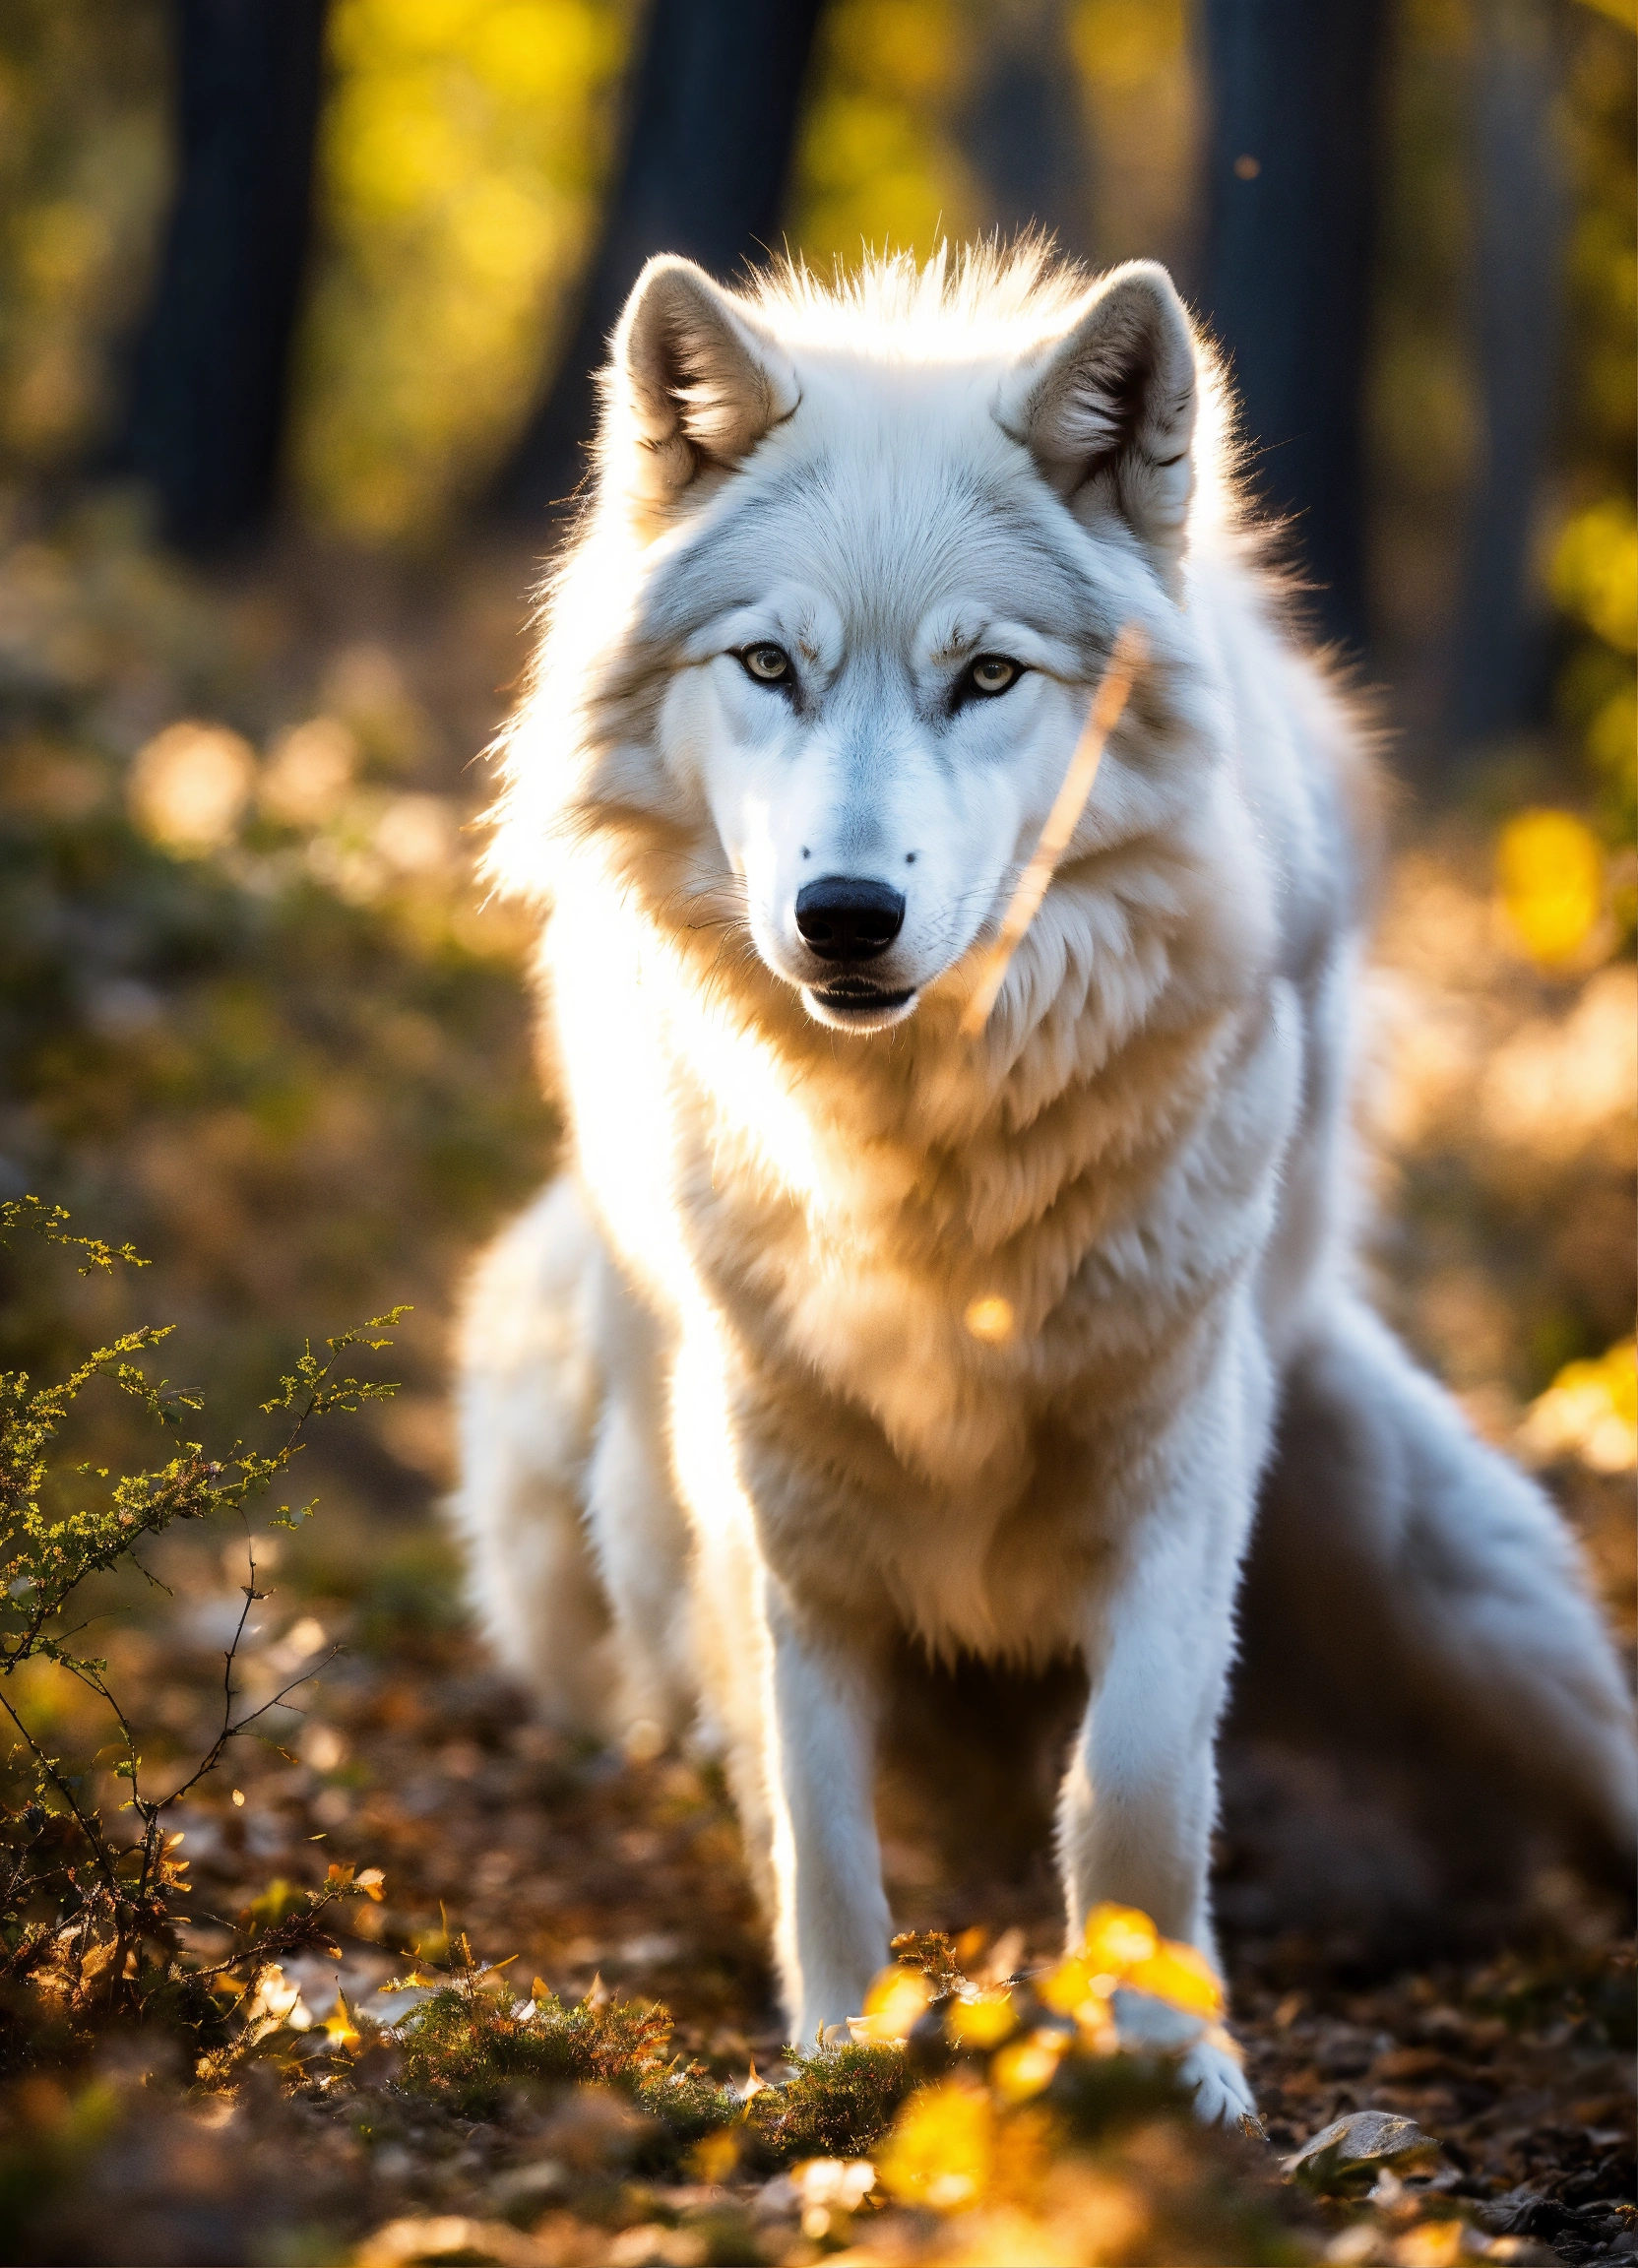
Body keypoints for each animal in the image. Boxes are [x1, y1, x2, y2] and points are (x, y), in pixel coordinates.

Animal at [453, 246, 1637, 2123]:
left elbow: (1139, 1782)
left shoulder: (1177, 1456)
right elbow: (816, 1825)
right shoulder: (763, 1485)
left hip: (1461, 1588)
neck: (927, 1155)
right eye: (769, 662)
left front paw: (1169, 2062)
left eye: (988, 677)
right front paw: (840, 2071)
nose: (843, 917)